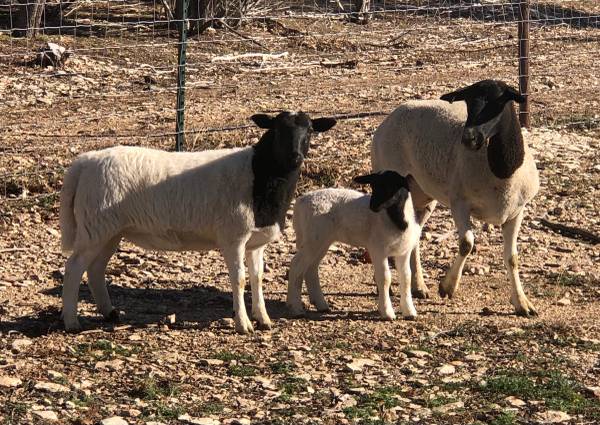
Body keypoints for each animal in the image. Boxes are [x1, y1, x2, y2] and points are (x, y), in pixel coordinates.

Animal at [59, 111, 338, 332]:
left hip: (109, 230)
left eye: (310, 130)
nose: (295, 157)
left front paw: (264, 319)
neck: (261, 175)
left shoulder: (256, 243)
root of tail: (85, 162)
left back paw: (109, 313)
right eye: (277, 129)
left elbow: (257, 279)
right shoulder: (233, 237)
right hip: (95, 227)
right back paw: (71, 322)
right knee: (74, 268)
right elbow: (239, 280)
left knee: (95, 269)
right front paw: (243, 324)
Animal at [288, 171, 420, 320]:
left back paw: (321, 304)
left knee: (311, 268)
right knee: (296, 265)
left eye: (391, 188)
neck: (397, 221)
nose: (372, 206)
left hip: (322, 240)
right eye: (373, 186)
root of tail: (300, 202)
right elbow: (385, 278)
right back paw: (295, 308)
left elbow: (406, 277)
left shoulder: (404, 251)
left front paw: (409, 312)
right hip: (314, 237)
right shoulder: (377, 249)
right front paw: (387, 312)